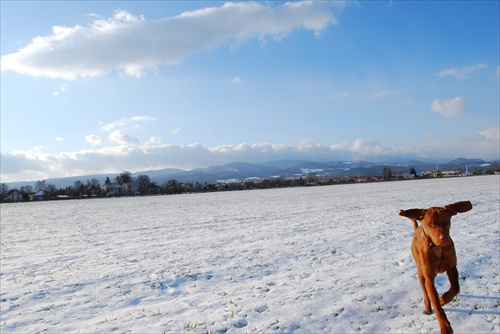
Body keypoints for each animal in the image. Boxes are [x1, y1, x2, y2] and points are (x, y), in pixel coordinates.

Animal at [398, 200, 472, 332]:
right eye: (430, 223)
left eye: (446, 221)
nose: (444, 238)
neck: (437, 249)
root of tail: (417, 228)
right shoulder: (429, 279)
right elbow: (436, 305)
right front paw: (445, 327)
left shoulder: (452, 269)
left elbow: (455, 288)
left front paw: (444, 299)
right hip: (421, 273)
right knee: (425, 293)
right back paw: (428, 308)